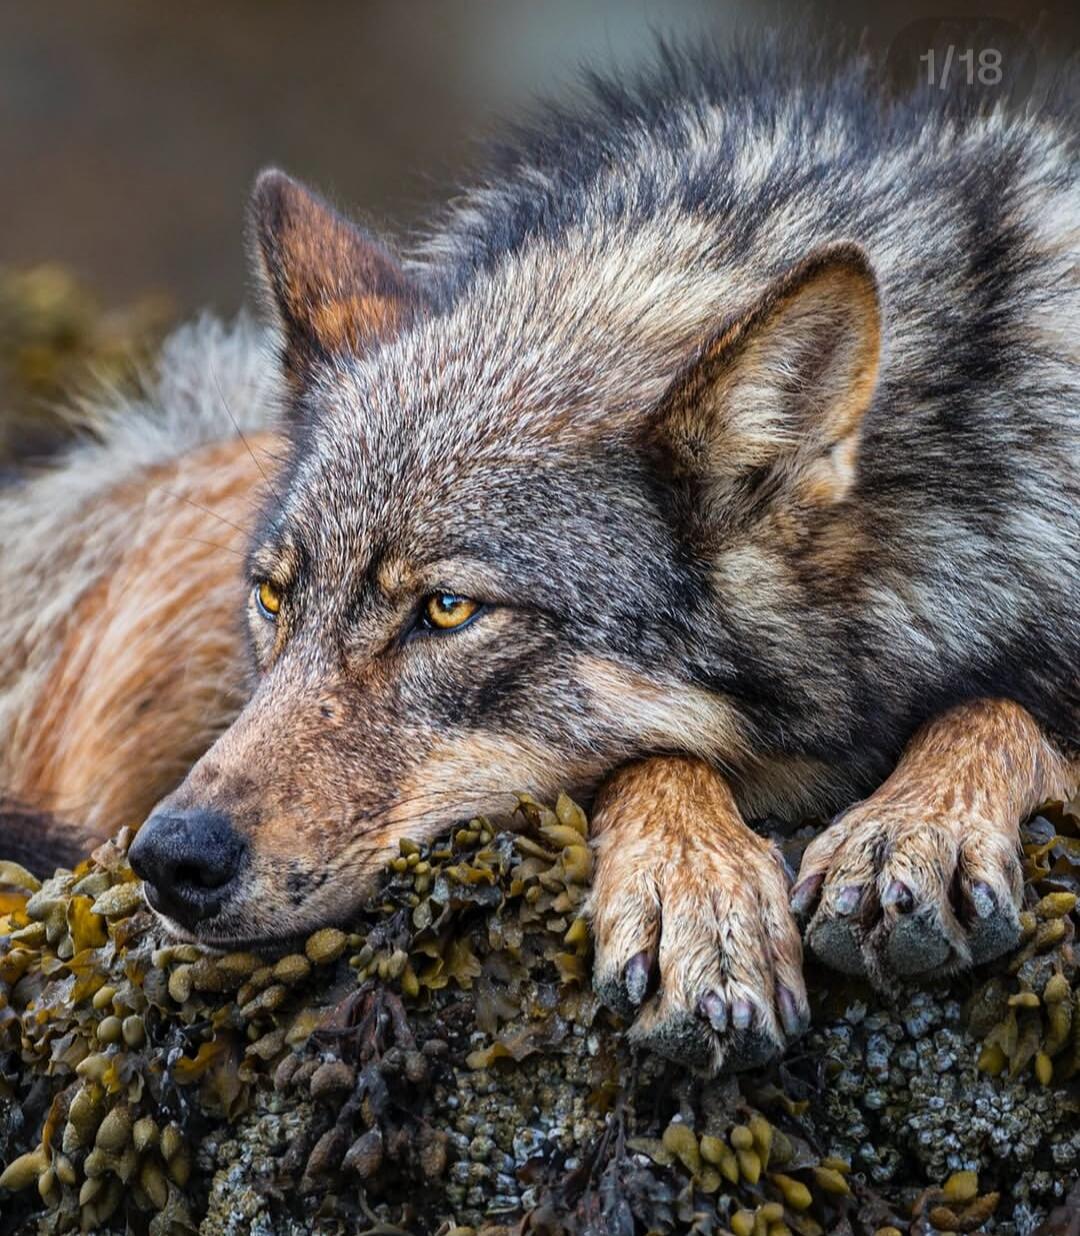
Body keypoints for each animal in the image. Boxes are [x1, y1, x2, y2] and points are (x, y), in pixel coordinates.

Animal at [1, 40, 1078, 1073]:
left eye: (446, 611)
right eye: (274, 600)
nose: (170, 858)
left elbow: (1002, 709)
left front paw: (916, 823)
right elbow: (656, 758)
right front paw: (697, 895)